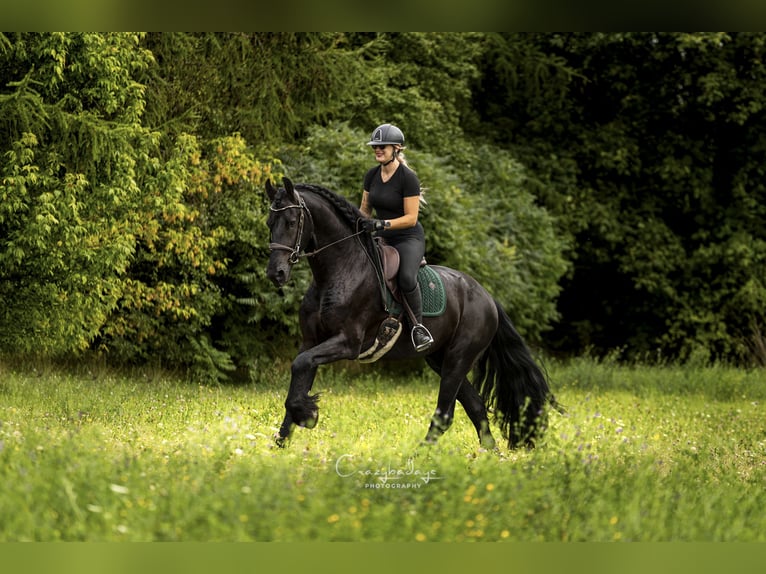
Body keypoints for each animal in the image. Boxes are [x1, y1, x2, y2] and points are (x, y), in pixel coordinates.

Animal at [265, 176, 559, 450]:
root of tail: (487, 297)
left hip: (458, 358)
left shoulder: (347, 342)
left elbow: (300, 365)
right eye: (269, 222)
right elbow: (299, 371)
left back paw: (419, 455)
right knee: (475, 408)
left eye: (291, 221)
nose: (275, 274)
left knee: (446, 413)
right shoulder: (311, 341)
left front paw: (307, 415)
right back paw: (491, 456)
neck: (340, 271)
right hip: (441, 359)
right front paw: (283, 440)